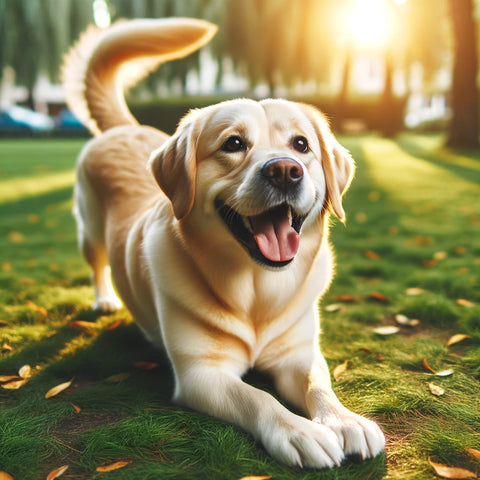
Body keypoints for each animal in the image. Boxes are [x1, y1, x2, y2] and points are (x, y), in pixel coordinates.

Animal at [64, 17, 386, 464]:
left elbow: (318, 386)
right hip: (89, 231)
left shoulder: (299, 354)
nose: (285, 170)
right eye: (233, 143)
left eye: (301, 145)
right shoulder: (202, 374)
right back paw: (105, 299)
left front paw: (343, 420)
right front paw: (299, 431)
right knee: (97, 265)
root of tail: (124, 127)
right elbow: (258, 398)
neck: (257, 288)